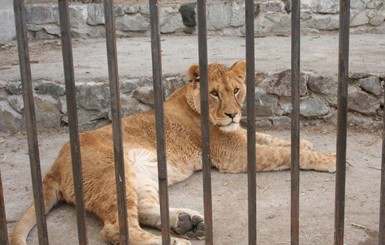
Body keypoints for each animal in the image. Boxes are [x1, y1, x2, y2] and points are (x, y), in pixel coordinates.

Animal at [10, 59, 334, 245]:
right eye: (214, 93)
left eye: (236, 90)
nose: (232, 114)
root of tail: (55, 164)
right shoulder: (233, 156)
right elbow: (283, 154)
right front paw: (329, 159)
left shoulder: (239, 137)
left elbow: (269, 138)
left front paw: (304, 142)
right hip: (111, 174)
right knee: (116, 229)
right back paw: (178, 240)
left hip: (140, 175)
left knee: (140, 210)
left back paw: (186, 223)